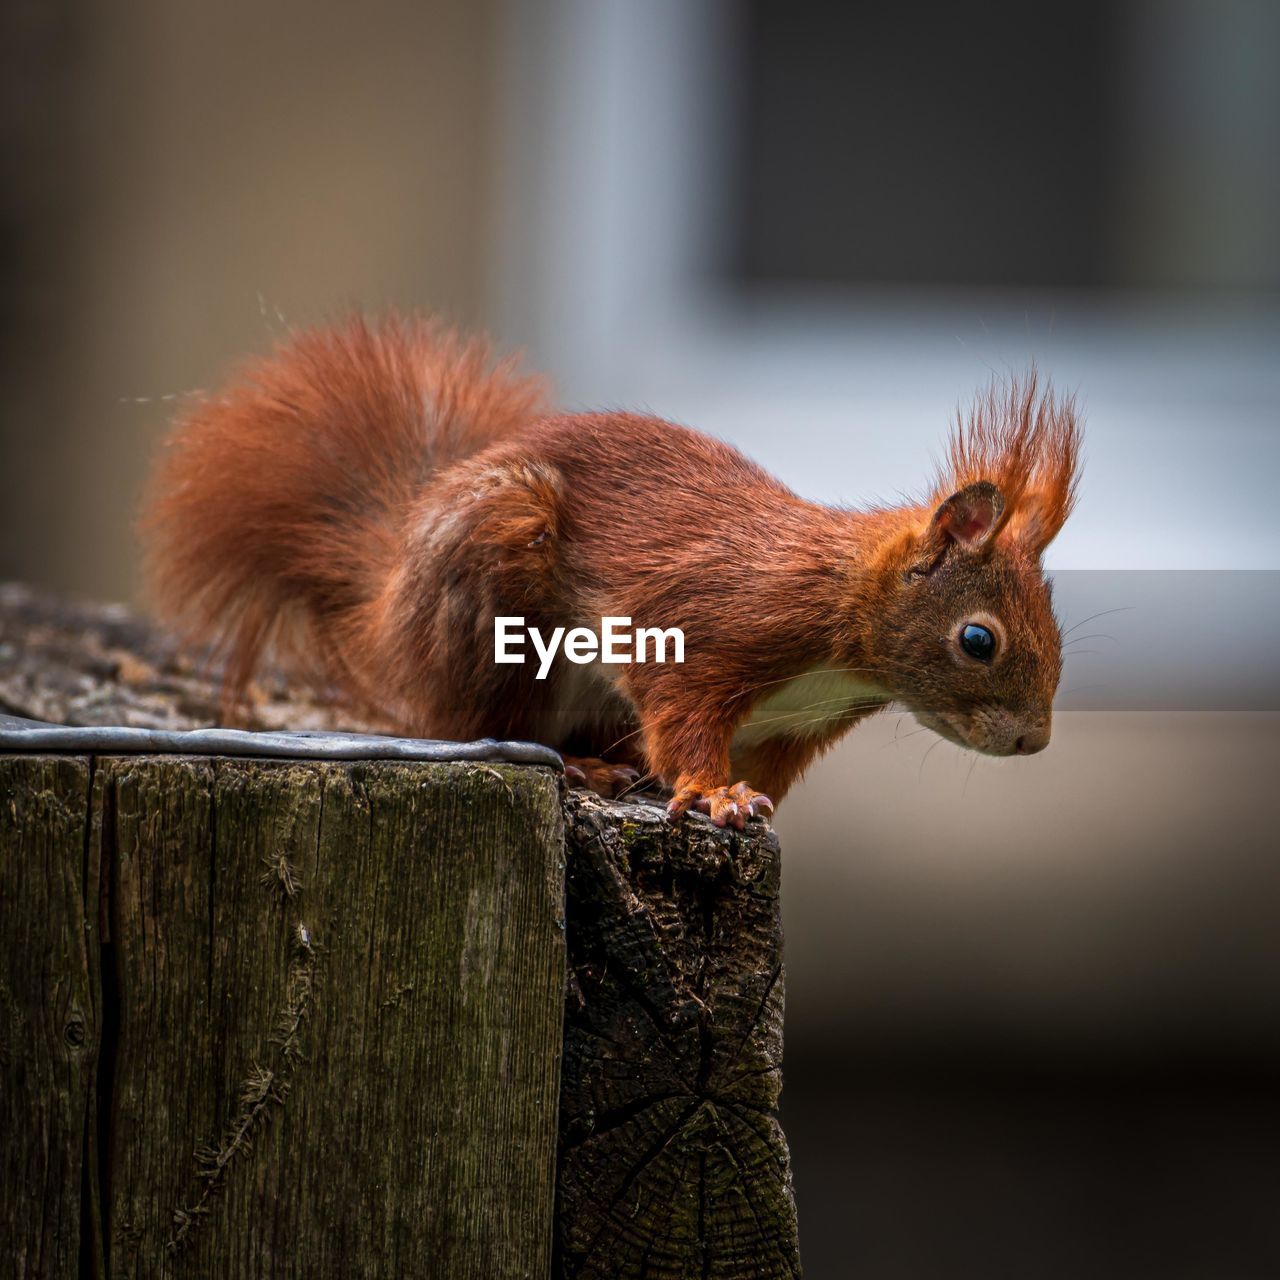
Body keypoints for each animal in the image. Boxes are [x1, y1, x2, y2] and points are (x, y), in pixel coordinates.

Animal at [140, 314, 1080, 824]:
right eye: (978, 640)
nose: (1035, 742)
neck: (842, 630)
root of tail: (392, 608)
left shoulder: (791, 728)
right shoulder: (708, 627)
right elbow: (685, 720)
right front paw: (716, 796)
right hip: (496, 591)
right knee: (472, 722)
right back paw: (579, 766)